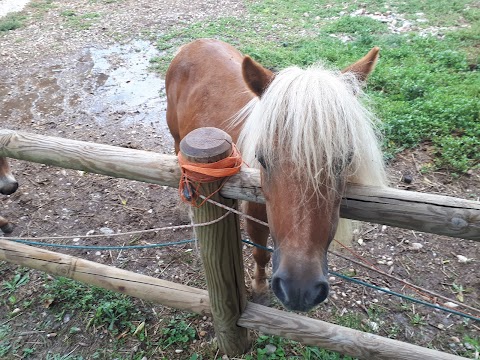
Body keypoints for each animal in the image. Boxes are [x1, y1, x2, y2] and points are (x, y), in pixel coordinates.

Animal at [165, 38, 386, 310]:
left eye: (345, 160)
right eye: (262, 159)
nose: (300, 289)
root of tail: (195, 43)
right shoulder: (255, 218)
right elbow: (261, 252)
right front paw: (260, 287)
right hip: (177, 138)